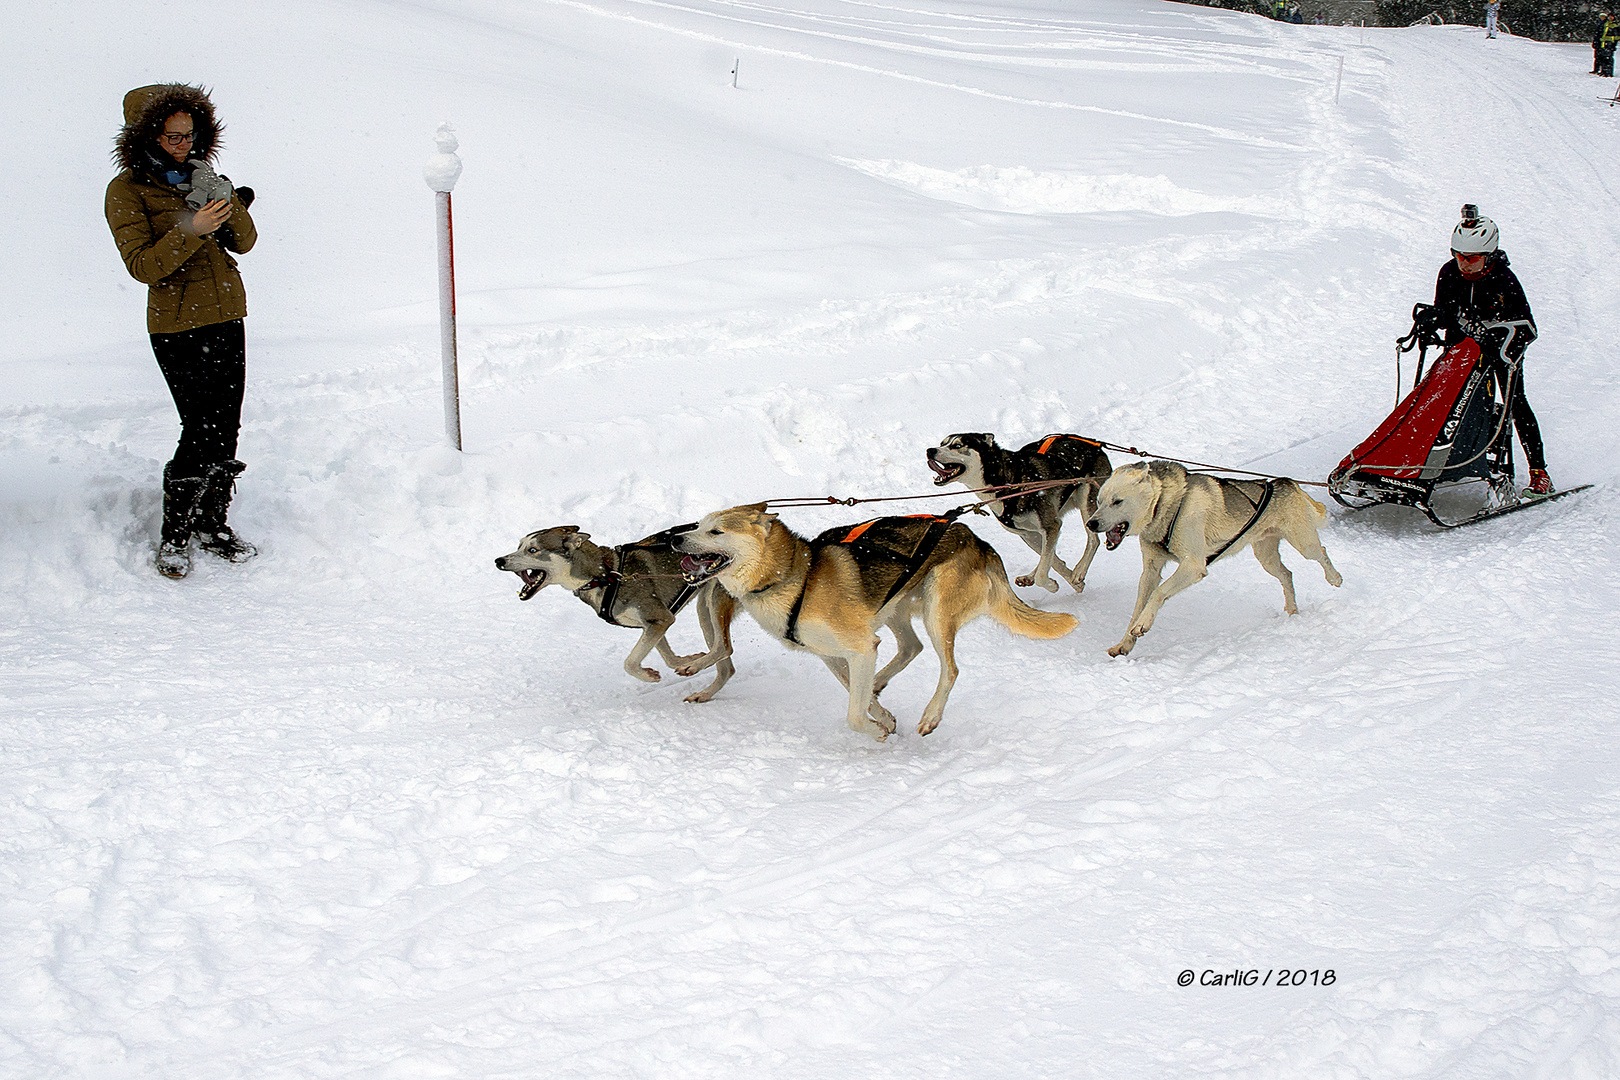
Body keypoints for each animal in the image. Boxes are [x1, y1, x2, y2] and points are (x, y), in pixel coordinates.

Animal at [492, 527, 741, 705]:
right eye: (519, 546)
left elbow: (629, 662)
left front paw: (649, 676)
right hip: (704, 610)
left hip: (714, 601)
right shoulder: (653, 624)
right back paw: (703, 690)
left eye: (532, 550)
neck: (606, 576)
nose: (499, 560)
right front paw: (687, 660)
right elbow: (668, 657)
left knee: (724, 647)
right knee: (726, 666)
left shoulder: (660, 618)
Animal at [670, 508, 1075, 744]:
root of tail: (979, 542)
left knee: (950, 668)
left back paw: (931, 715)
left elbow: (853, 714)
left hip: (936, 609)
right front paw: (884, 717)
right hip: (895, 607)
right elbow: (855, 691)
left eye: (716, 532)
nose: (675, 537)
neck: (796, 578)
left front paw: (876, 730)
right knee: (911, 647)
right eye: (699, 525)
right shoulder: (833, 654)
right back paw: (880, 684)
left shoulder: (862, 647)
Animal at [933, 433, 1108, 595]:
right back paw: (1031, 576)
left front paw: (1056, 583)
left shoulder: (1050, 525)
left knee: (1094, 540)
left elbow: (1043, 572)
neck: (1007, 482)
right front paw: (1072, 582)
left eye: (957, 445)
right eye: (942, 443)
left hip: (1087, 502)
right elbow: (1051, 560)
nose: (930, 450)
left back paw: (1079, 570)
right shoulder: (1028, 534)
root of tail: (1094, 444)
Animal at [1088, 459, 1341, 660]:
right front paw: (1125, 643)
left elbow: (1159, 593)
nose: (1091, 523)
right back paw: (1291, 609)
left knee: (1322, 552)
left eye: (1117, 501)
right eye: (1099, 501)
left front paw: (1143, 624)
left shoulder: (1193, 565)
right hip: (1266, 557)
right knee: (1287, 574)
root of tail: (1287, 482)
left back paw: (1335, 578)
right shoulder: (1151, 571)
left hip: (1304, 544)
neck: (1165, 505)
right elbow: (1139, 606)